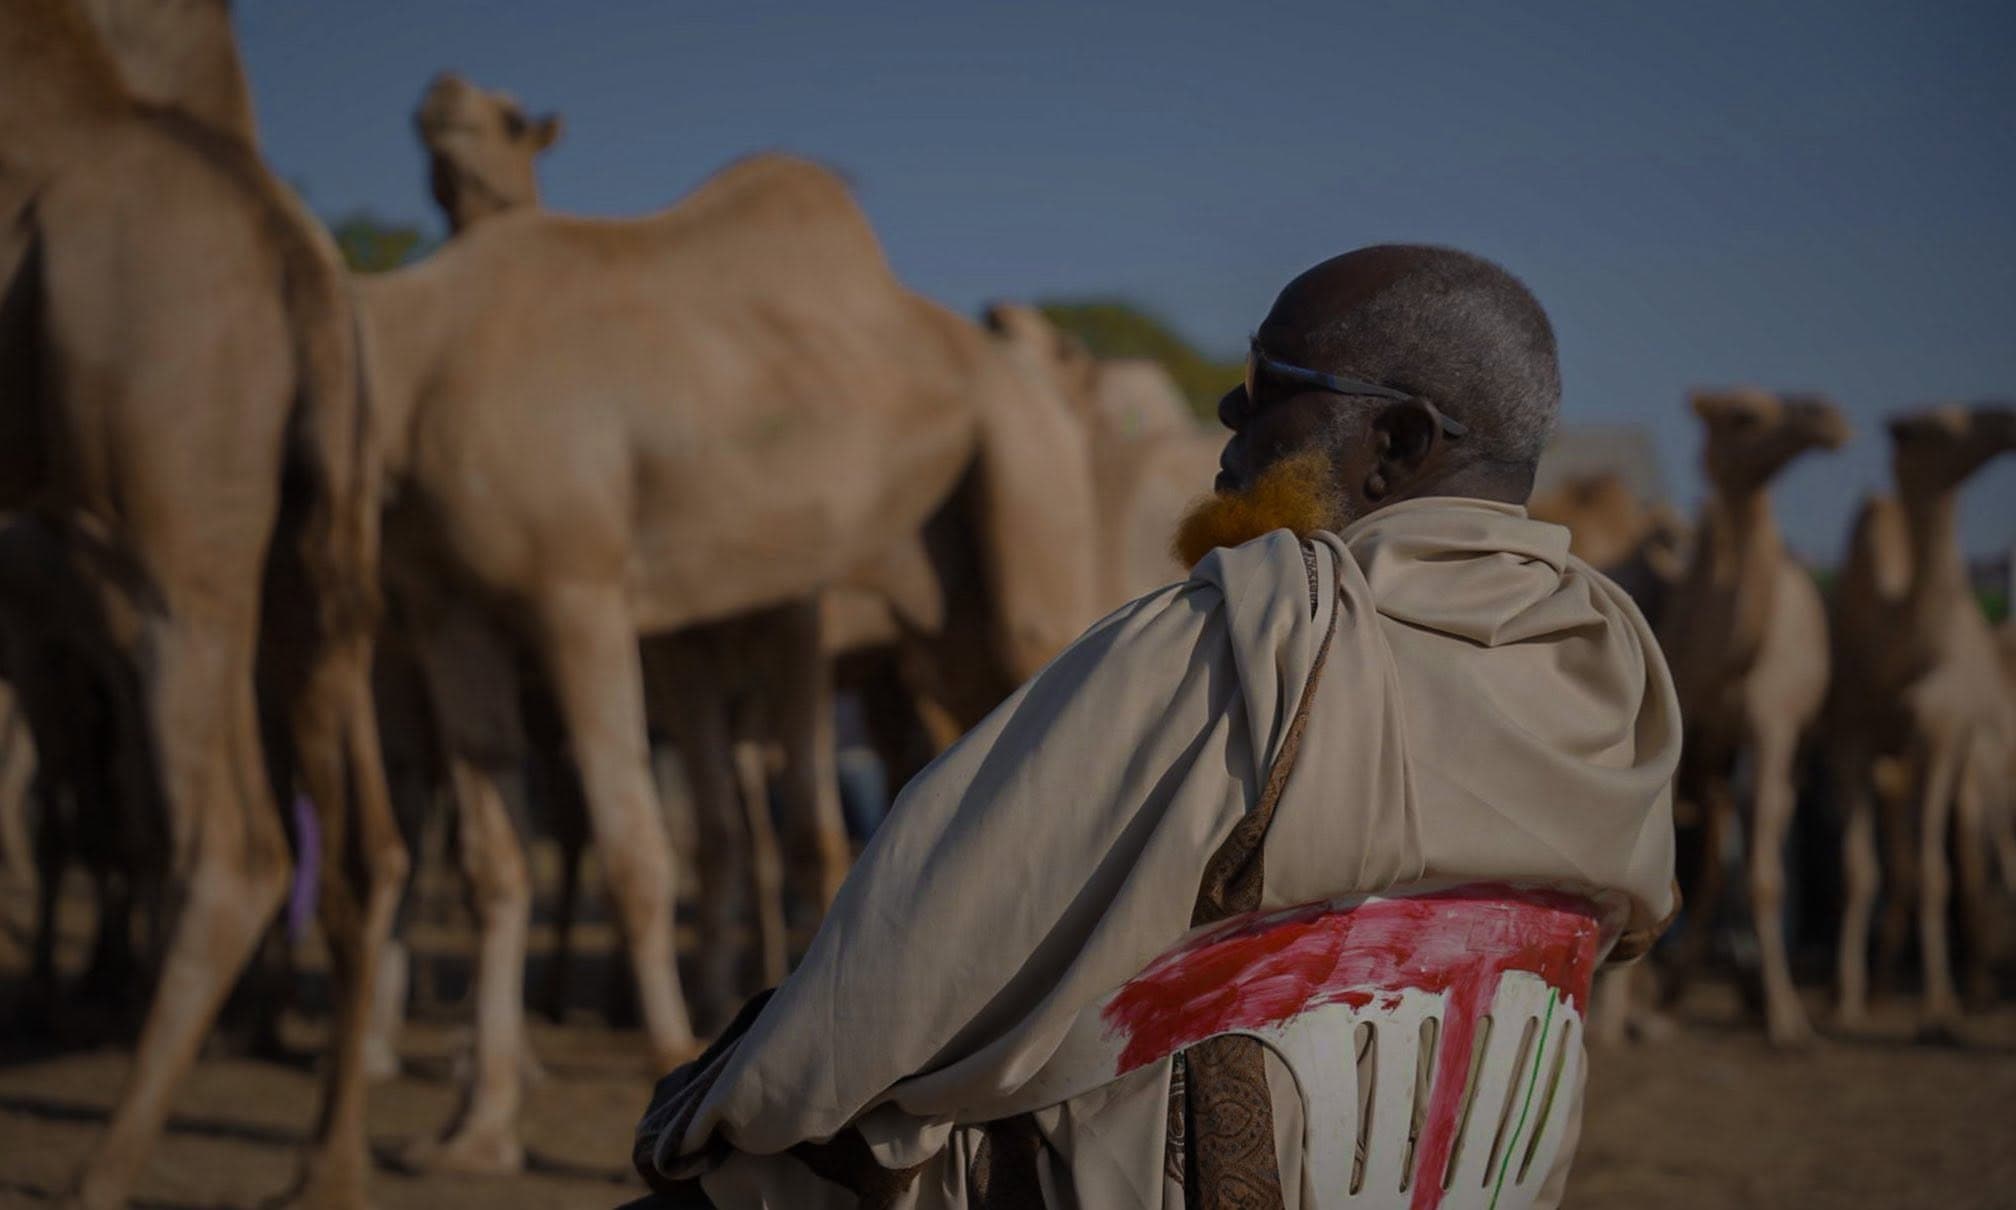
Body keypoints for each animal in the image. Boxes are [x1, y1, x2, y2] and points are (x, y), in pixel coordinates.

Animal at [0, 3, 404, 1207]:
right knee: (362, 847)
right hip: (315, 567)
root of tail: (300, 264)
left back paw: (101, 1169)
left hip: (164, 552)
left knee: (233, 848)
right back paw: (325, 1167)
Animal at [350, 73, 1097, 1169]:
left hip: (1028, 508)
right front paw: (475, 1130)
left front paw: (667, 1052)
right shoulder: (452, 609)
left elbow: (635, 843)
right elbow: (496, 861)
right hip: (946, 619)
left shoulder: (580, 589)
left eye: (510, 118)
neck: (417, 359)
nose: (441, 96)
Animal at [1657, 389, 1847, 1045]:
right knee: (1718, 850)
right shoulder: (1691, 724)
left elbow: (1764, 874)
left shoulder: (1772, 725)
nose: (1828, 416)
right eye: (1741, 415)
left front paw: (1788, 1022)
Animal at [1830, 403, 2016, 1031]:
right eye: (1937, 428)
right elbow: (1861, 869)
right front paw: (1848, 1002)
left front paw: (1939, 1001)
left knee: (1970, 850)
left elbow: (1937, 871)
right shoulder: (1853, 738)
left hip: (1974, 751)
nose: (2006, 422)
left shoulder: (1938, 738)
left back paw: (1975, 987)